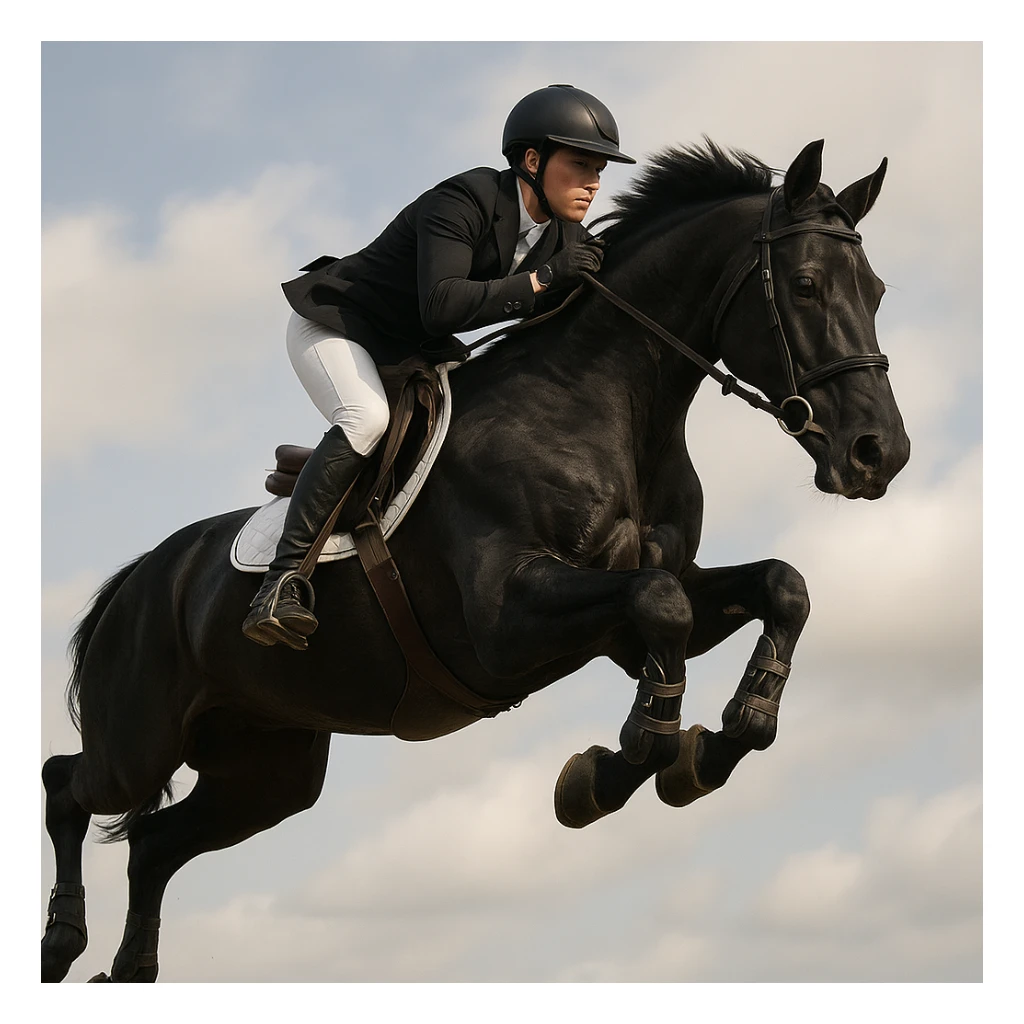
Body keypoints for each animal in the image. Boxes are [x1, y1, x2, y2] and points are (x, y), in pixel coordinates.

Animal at [41, 138, 910, 982]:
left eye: (875, 291)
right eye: (805, 286)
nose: (880, 455)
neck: (606, 406)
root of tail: (140, 578)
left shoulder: (637, 616)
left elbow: (776, 588)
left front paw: (720, 741)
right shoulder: (505, 621)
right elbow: (658, 604)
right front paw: (609, 775)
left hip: (265, 770)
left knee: (153, 844)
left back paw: (129, 968)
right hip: (140, 741)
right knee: (66, 785)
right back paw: (62, 940)